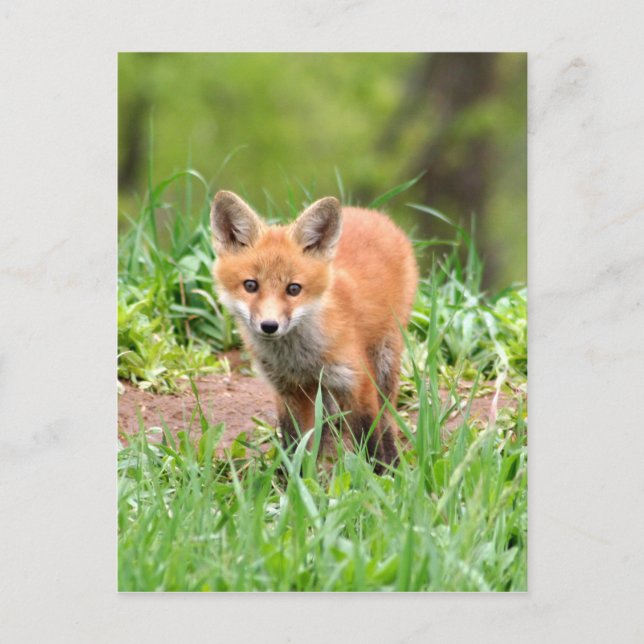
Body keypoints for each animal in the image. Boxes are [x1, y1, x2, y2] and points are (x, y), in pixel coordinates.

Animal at [210, 190, 418, 470]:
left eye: (294, 289)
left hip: (385, 359)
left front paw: (379, 476)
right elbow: (294, 444)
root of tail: (372, 213)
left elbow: (370, 439)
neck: (300, 359)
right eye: (251, 285)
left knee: (387, 419)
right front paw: (294, 479)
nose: (269, 326)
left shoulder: (358, 381)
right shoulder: (288, 390)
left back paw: (392, 461)